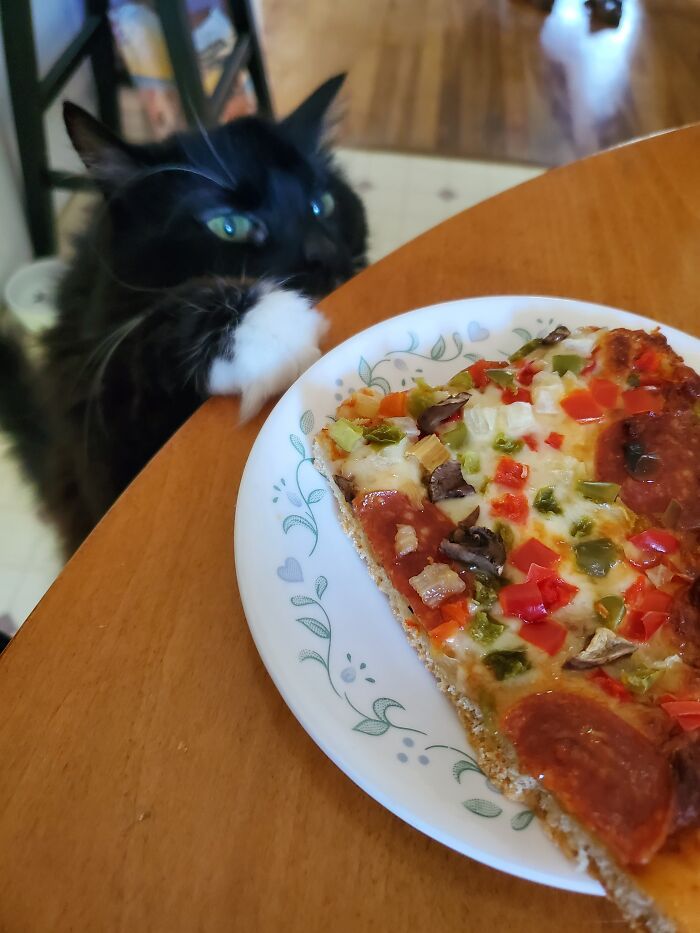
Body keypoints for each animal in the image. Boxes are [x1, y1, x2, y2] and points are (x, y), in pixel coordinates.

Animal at [0, 76, 370, 556]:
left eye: (320, 204)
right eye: (229, 227)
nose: (327, 255)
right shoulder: (100, 403)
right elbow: (148, 329)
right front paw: (272, 327)